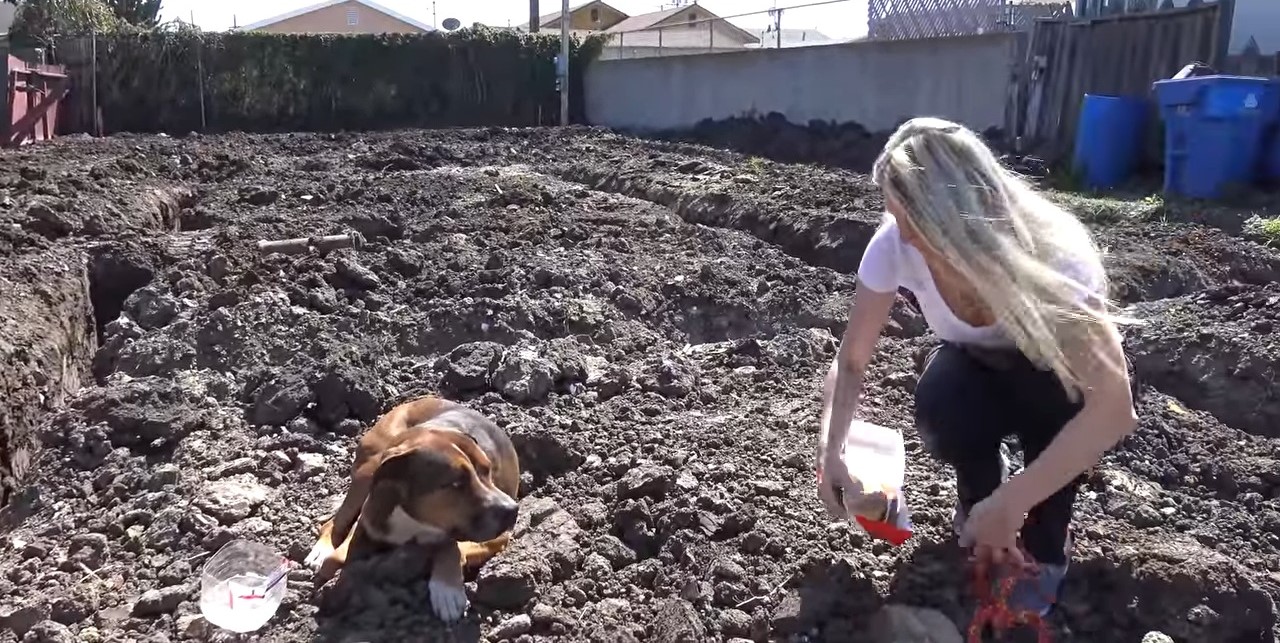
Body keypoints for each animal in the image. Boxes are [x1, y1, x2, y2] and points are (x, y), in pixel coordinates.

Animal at [302, 394, 517, 619]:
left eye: (488, 469)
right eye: (456, 483)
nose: (512, 510)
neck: (416, 519)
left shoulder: (498, 537)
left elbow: (451, 545)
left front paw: (447, 589)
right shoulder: (369, 517)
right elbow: (337, 557)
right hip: (369, 469)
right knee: (334, 521)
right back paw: (321, 550)